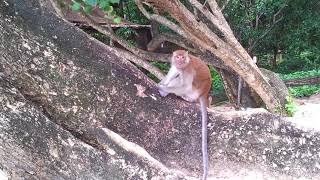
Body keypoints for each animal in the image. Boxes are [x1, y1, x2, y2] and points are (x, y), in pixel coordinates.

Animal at [157, 49, 211, 180]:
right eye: (177, 57)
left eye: (182, 57)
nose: (180, 60)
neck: (186, 63)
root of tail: (204, 93)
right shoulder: (176, 66)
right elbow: (171, 74)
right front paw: (161, 83)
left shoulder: (187, 69)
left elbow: (184, 85)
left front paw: (161, 88)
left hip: (192, 93)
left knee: (181, 82)